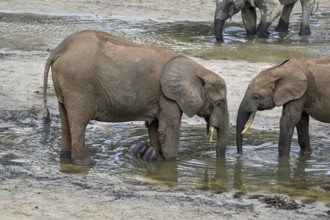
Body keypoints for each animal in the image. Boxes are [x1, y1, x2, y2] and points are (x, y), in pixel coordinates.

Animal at [43, 30, 229, 166]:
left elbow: (155, 127)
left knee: (66, 120)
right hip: (78, 85)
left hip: (66, 85)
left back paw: (66, 159)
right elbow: (168, 130)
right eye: (219, 103)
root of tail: (59, 49)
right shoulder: (169, 98)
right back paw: (87, 163)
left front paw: (152, 155)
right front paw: (169, 162)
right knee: (78, 122)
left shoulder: (161, 97)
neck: (200, 70)